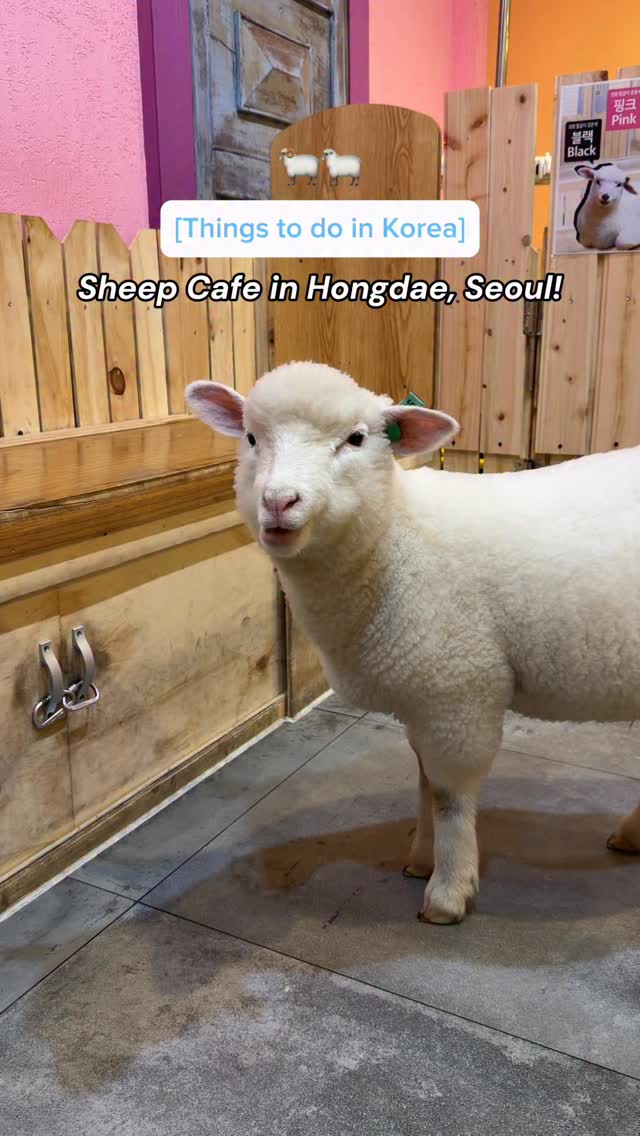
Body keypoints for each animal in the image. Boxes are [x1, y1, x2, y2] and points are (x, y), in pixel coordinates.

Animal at [185, 362, 640, 925]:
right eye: (251, 437)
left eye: (356, 439)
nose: (278, 502)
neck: (394, 538)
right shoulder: (426, 697)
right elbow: (423, 781)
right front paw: (422, 859)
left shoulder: (458, 694)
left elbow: (448, 797)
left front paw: (447, 891)